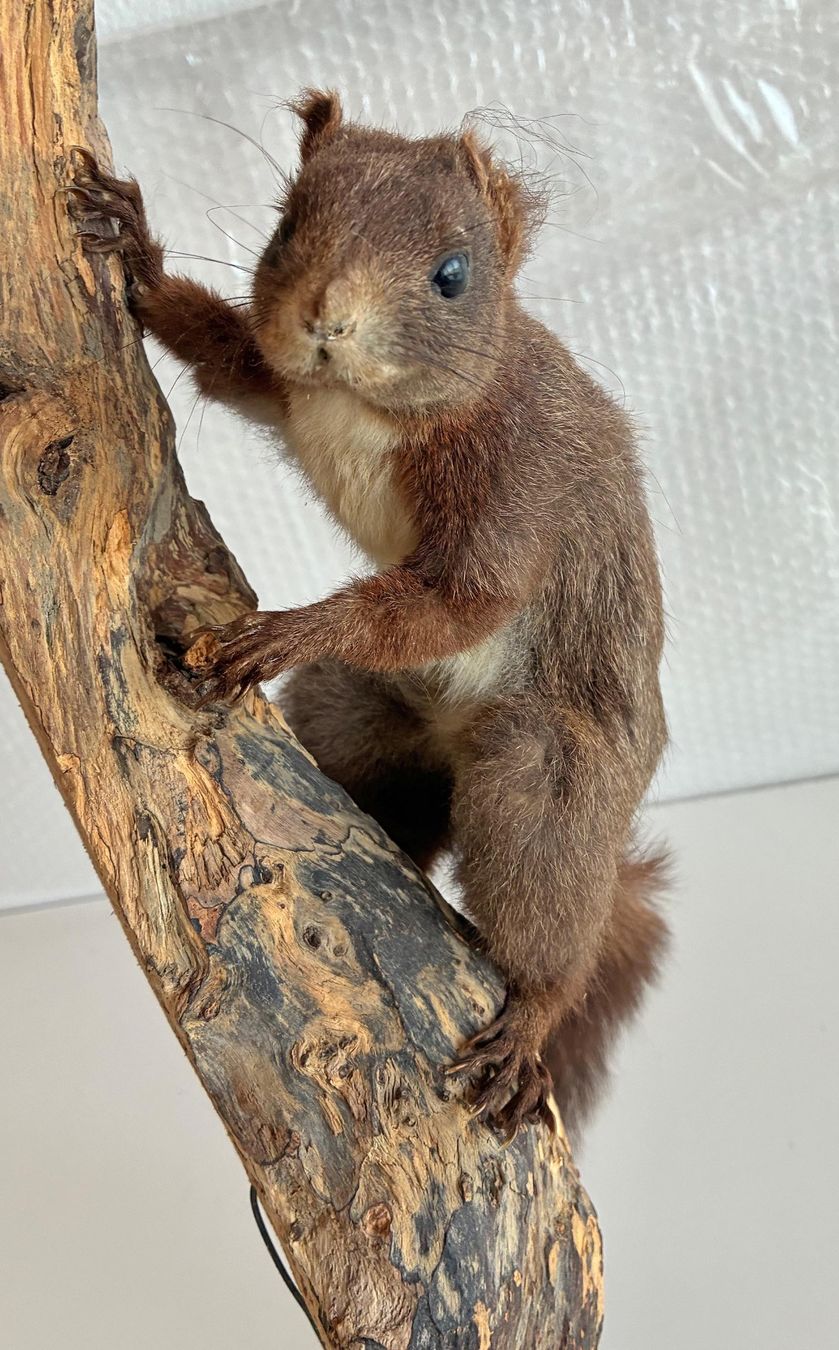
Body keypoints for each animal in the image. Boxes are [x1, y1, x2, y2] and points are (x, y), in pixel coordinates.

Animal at [70, 90, 669, 1141]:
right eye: (285, 224)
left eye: (453, 274)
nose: (325, 319)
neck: (366, 406)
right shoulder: (283, 384)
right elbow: (227, 360)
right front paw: (130, 246)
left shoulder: (519, 481)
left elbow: (460, 600)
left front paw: (281, 632)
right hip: (364, 713)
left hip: (548, 779)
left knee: (552, 907)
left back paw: (532, 1016)